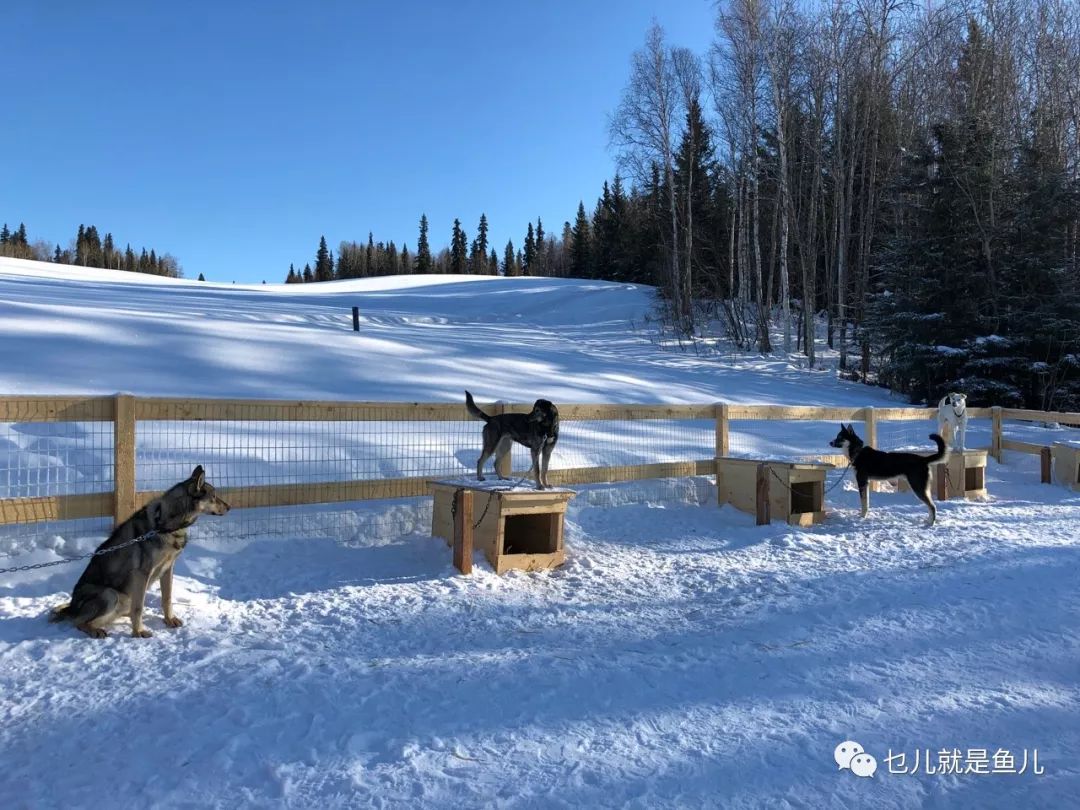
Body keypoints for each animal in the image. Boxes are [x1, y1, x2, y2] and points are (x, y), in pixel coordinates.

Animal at [51, 468, 228, 639]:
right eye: (214, 496)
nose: (229, 507)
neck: (165, 525)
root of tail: (71, 608)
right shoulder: (142, 574)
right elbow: (139, 608)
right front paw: (139, 632)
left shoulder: (168, 569)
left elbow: (167, 599)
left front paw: (169, 620)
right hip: (110, 594)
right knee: (79, 622)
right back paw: (96, 631)